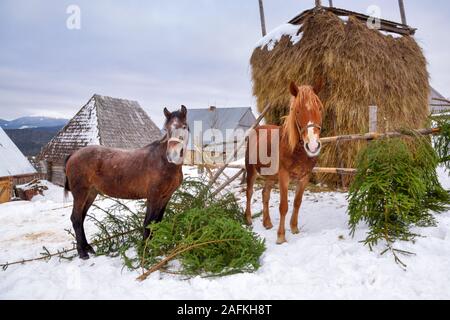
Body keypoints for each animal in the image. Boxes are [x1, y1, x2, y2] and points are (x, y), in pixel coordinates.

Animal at [64, 106, 188, 258]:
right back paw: (82, 253)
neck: (164, 162)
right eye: (167, 129)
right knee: (76, 218)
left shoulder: (166, 197)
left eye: (184, 126)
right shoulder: (153, 197)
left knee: (81, 217)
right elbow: (148, 222)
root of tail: (73, 155)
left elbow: (157, 222)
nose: (173, 155)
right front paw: (143, 252)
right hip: (80, 193)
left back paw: (88, 248)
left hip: (91, 193)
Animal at [246, 81, 324, 244]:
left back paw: (267, 223)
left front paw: (294, 228)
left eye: (319, 108)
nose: (313, 146)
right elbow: (283, 206)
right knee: (249, 192)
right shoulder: (284, 176)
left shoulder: (304, 177)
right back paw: (248, 219)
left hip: (270, 177)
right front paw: (281, 236)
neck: (295, 150)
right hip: (251, 170)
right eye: (297, 111)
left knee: (265, 194)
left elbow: (297, 202)